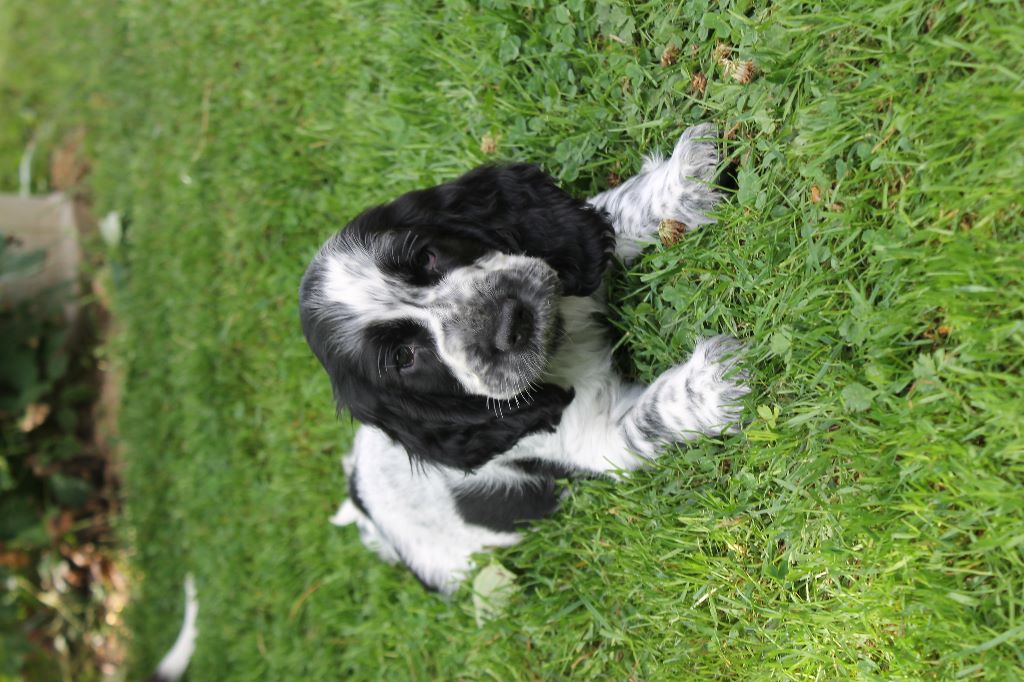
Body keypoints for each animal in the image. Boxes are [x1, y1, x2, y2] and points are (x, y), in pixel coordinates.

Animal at [299, 124, 749, 594]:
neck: (561, 341)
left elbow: (613, 212)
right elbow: (649, 418)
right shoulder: (591, 439)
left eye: (426, 256)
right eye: (404, 357)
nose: (509, 323)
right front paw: (711, 385)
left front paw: (683, 183)